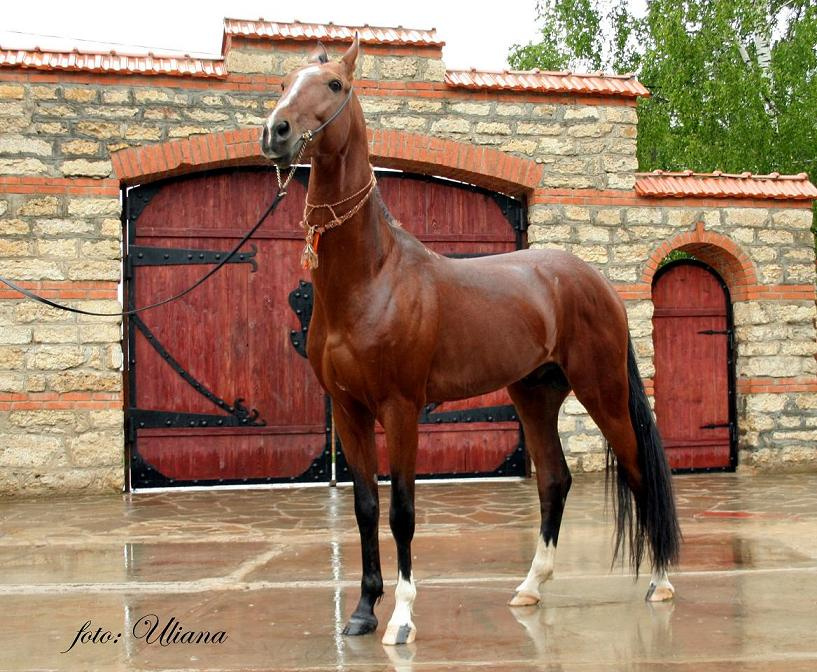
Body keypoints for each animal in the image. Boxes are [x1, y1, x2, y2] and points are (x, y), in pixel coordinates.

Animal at [260, 34, 681, 646]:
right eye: (284, 80)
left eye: (334, 85)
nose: (276, 133)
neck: (371, 278)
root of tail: (595, 280)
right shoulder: (348, 410)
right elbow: (364, 507)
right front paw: (362, 612)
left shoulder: (401, 408)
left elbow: (402, 510)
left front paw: (402, 619)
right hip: (534, 395)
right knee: (554, 480)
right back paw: (530, 588)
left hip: (601, 392)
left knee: (637, 472)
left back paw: (661, 581)